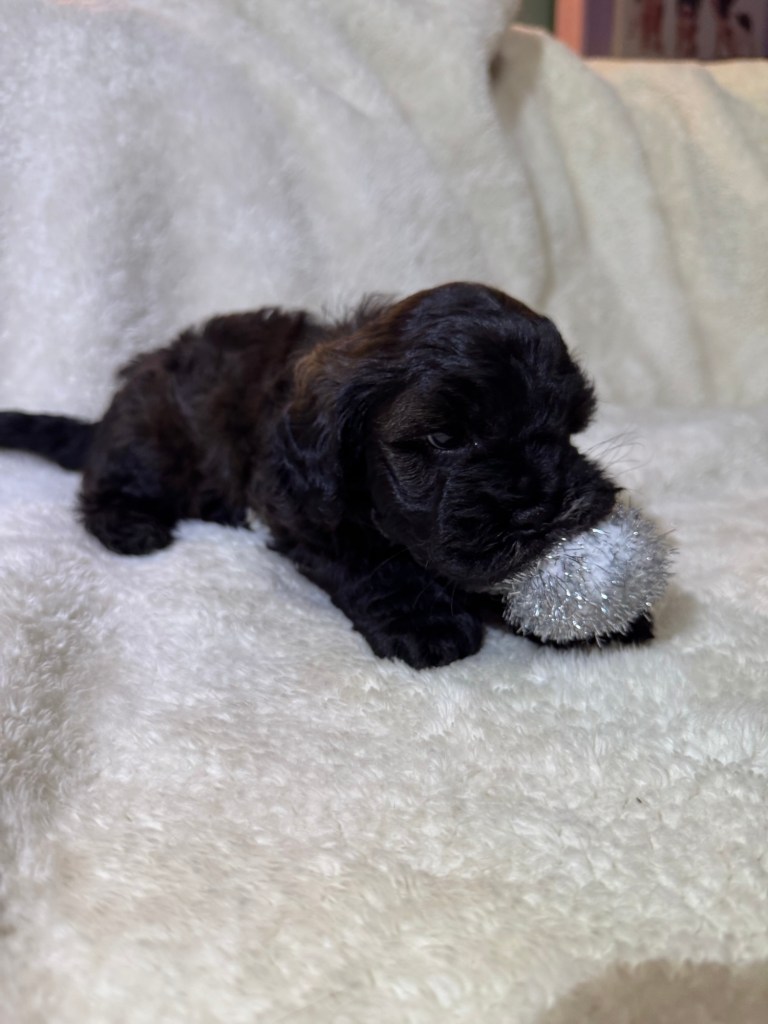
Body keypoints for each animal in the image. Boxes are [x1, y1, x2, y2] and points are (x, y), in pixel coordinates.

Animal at [0, 282, 632, 668]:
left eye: (567, 426)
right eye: (443, 439)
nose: (542, 502)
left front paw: (604, 618)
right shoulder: (306, 513)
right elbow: (373, 561)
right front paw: (424, 617)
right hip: (154, 439)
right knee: (111, 480)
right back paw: (129, 524)